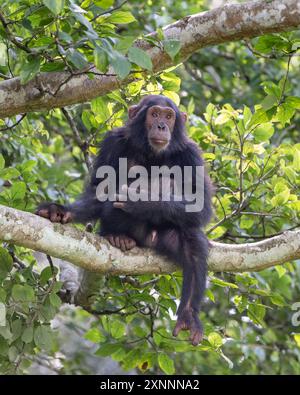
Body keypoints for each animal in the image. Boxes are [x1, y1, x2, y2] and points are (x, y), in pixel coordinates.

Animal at [36, 96, 212, 346]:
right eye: (154, 114)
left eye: (169, 116)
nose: (162, 126)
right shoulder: (113, 142)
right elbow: (98, 189)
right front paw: (59, 211)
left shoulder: (191, 154)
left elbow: (201, 203)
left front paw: (140, 201)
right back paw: (118, 237)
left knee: (193, 244)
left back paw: (188, 313)